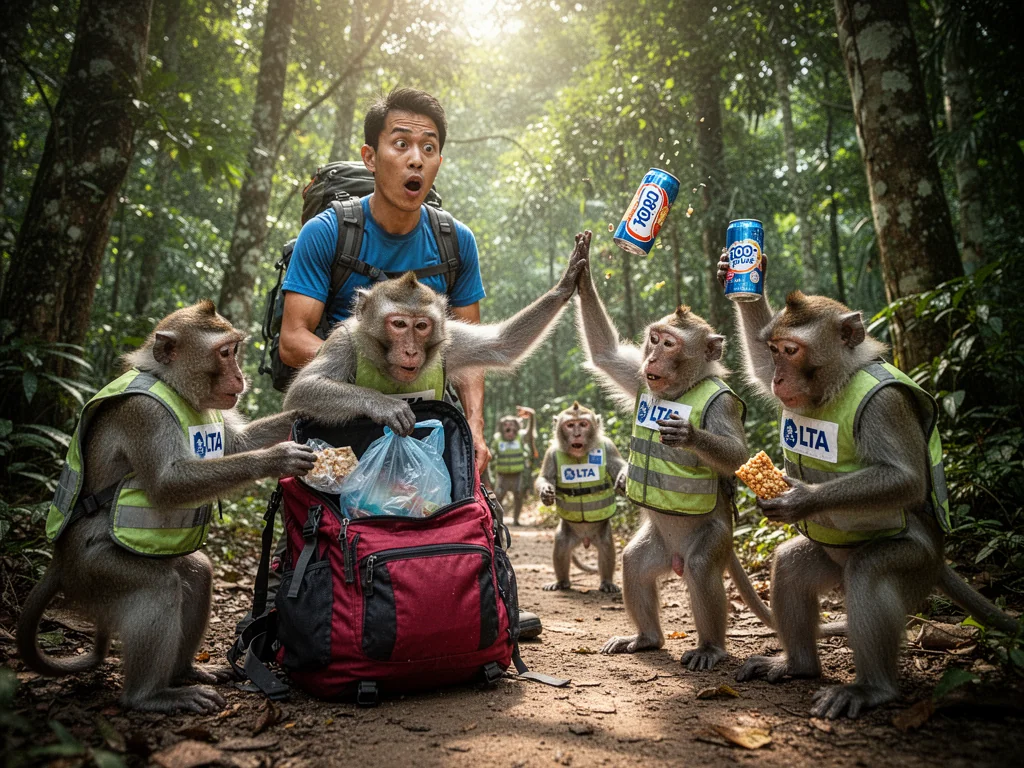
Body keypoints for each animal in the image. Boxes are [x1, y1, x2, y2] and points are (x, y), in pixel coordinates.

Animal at [17, 301, 317, 714]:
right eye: (225, 353)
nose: (240, 376)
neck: (169, 383)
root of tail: (60, 562)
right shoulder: (144, 413)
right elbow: (166, 483)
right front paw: (277, 458)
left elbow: (237, 443)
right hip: (95, 572)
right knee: (159, 587)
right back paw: (150, 696)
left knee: (197, 573)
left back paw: (185, 671)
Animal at [283, 232, 592, 433]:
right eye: (399, 324)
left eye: (421, 326)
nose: (410, 350)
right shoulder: (342, 342)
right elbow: (303, 389)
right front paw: (383, 404)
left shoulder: (450, 341)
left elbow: (503, 345)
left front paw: (566, 282)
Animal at [536, 401, 627, 593]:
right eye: (570, 425)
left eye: (583, 424)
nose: (577, 434)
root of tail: (585, 540)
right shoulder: (550, 452)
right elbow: (545, 477)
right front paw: (546, 491)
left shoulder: (609, 447)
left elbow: (620, 466)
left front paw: (623, 477)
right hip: (568, 533)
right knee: (561, 547)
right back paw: (562, 582)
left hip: (601, 532)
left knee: (606, 548)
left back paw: (607, 582)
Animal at [573, 257, 775, 671]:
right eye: (654, 339)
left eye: (670, 344)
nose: (652, 358)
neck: (682, 390)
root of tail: (676, 558)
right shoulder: (641, 380)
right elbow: (605, 353)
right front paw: (581, 271)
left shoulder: (723, 404)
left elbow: (738, 455)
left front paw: (688, 434)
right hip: (659, 547)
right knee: (635, 563)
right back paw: (646, 638)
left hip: (716, 539)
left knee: (700, 569)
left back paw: (710, 647)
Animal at [718, 251, 1020, 718]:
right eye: (775, 350)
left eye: (792, 350)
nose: (780, 379)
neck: (838, 384)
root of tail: (939, 560)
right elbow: (755, 365)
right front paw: (748, 274)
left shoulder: (884, 405)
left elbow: (906, 479)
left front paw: (800, 498)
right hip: (830, 556)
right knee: (791, 567)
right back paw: (799, 665)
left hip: (914, 561)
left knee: (869, 573)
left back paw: (872, 689)